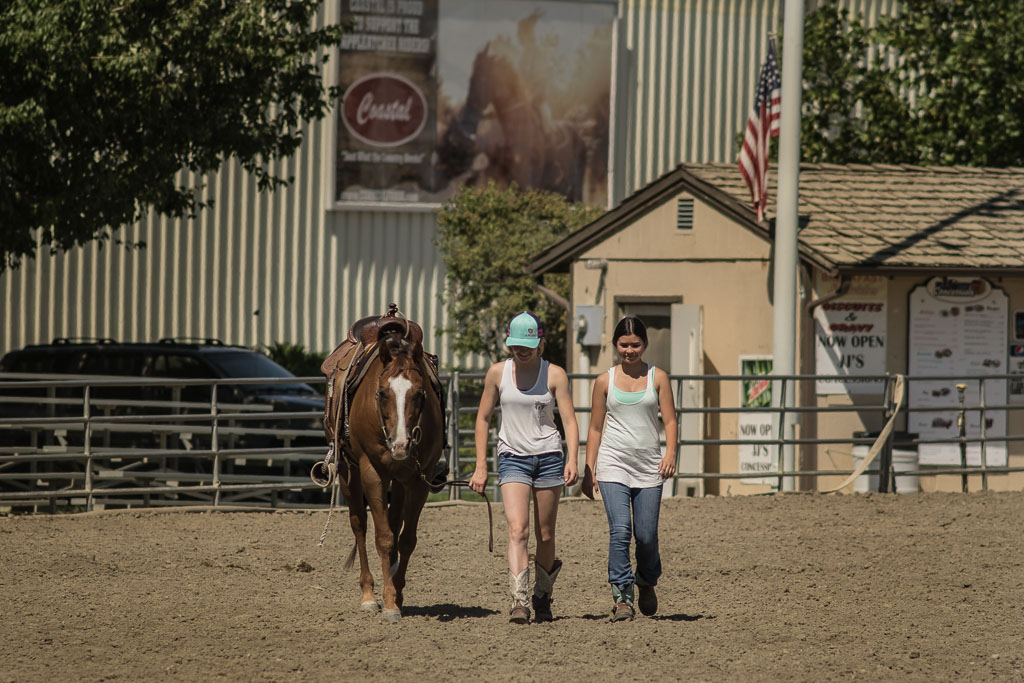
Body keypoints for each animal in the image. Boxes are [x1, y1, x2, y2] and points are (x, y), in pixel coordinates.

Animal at [333, 325, 442, 618]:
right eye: (382, 393)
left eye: (420, 394)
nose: (400, 445)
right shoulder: (372, 473)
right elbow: (382, 538)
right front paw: (389, 603)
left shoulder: (419, 479)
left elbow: (405, 540)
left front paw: (397, 594)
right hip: (349, 473)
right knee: (359, 525)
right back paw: (369, 594)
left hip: (400, 481)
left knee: (394, 524)